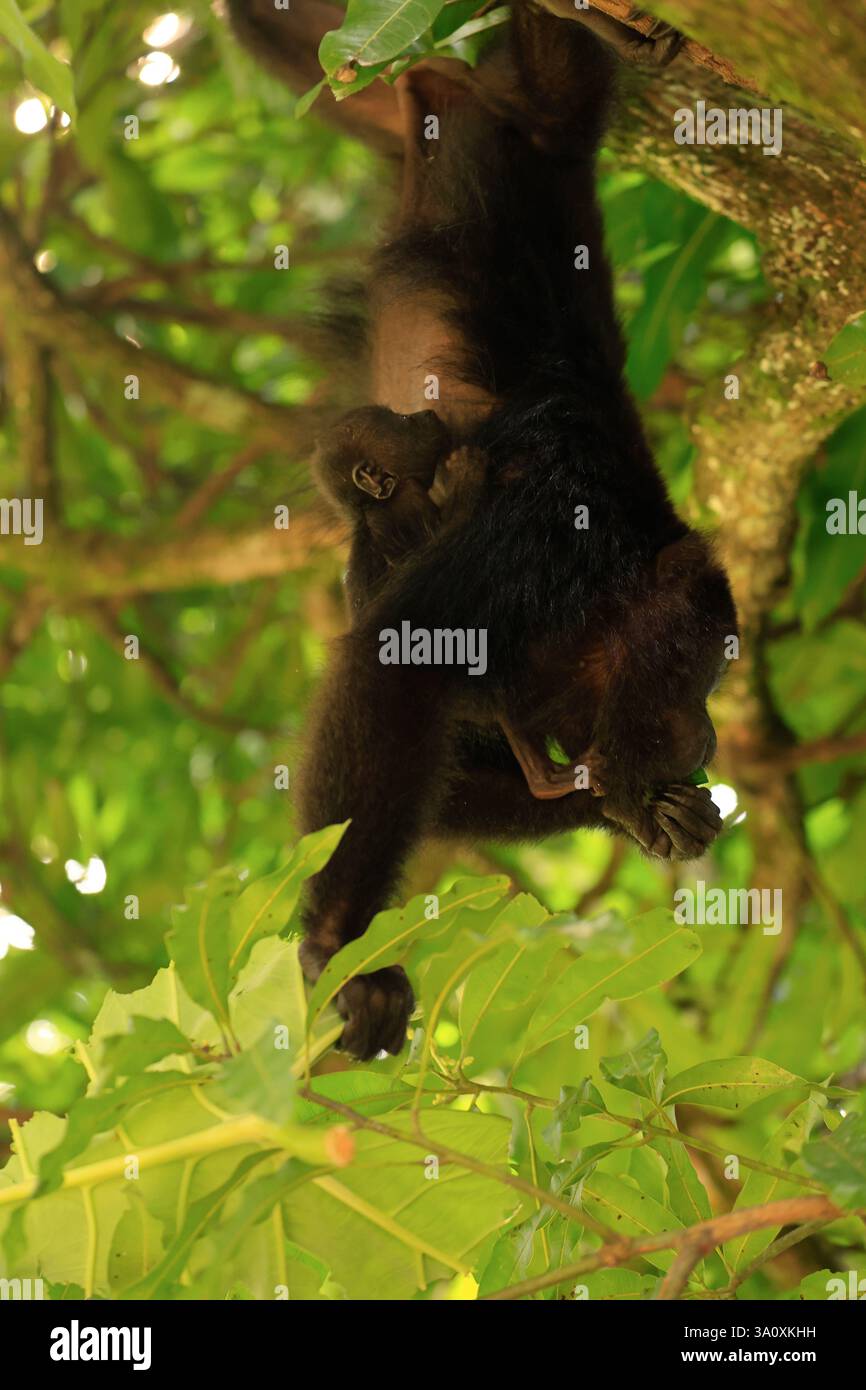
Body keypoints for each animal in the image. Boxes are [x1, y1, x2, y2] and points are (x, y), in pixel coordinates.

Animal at [227, 1, 738, 1061]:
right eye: (705, 672)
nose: (711, 738)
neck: (622, 561)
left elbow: (455, 775)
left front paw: (647, 812)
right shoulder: (549, 523)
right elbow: (394, 657)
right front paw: (345, 951)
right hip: (529, 110)